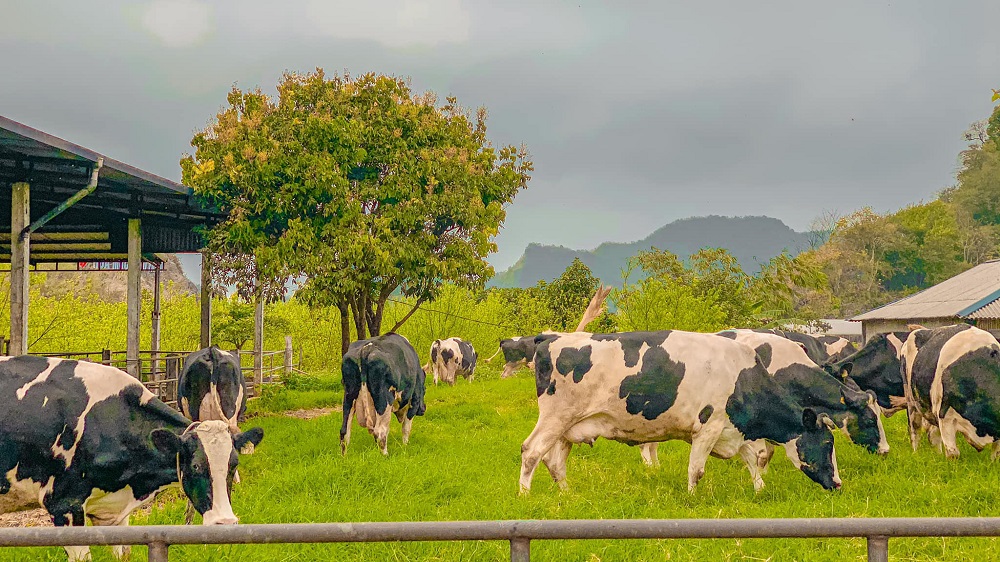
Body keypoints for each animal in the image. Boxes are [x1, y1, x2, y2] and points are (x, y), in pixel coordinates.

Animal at [520, 330, 840, 492]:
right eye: (827, 443)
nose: (838, 483)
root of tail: (551, 338)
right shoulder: (708, 427)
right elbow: (696, 469)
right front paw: (693, 499)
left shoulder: (733, 430)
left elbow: (753, 458)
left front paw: (759, 489)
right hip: (556, 417)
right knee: (531, 451)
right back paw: (525, 495)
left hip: (567, 427)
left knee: (554, 461)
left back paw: (566, 495)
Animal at [900, 322, 1000, 458]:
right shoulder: (945, 416)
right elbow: (953, 453)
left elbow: (996, 454)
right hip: (911, 400)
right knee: (915, 430)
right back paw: (915, 453)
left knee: (933, 434)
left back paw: (937, 456)